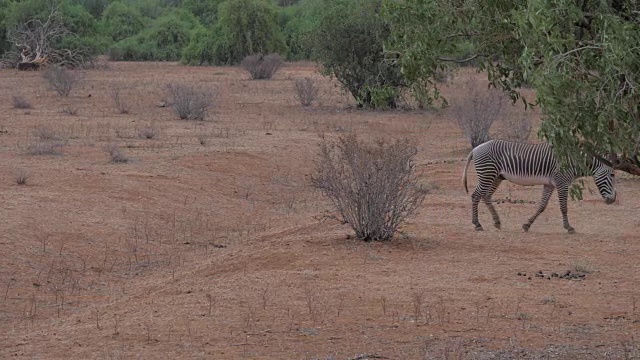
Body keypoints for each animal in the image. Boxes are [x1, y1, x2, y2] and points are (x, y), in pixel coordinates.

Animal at [462, 139, 616, 232]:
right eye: (613, 175)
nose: (613, 200)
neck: (573, 160)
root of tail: (476, 148)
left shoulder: (550, 184)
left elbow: (542, 206)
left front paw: (527, 225)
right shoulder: (562, 182)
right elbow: (563, 207)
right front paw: (568, 227)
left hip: (496, 177)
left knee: (486, 195)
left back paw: (497, 222)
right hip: (487, 174)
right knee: (476, 196)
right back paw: (477, 224)